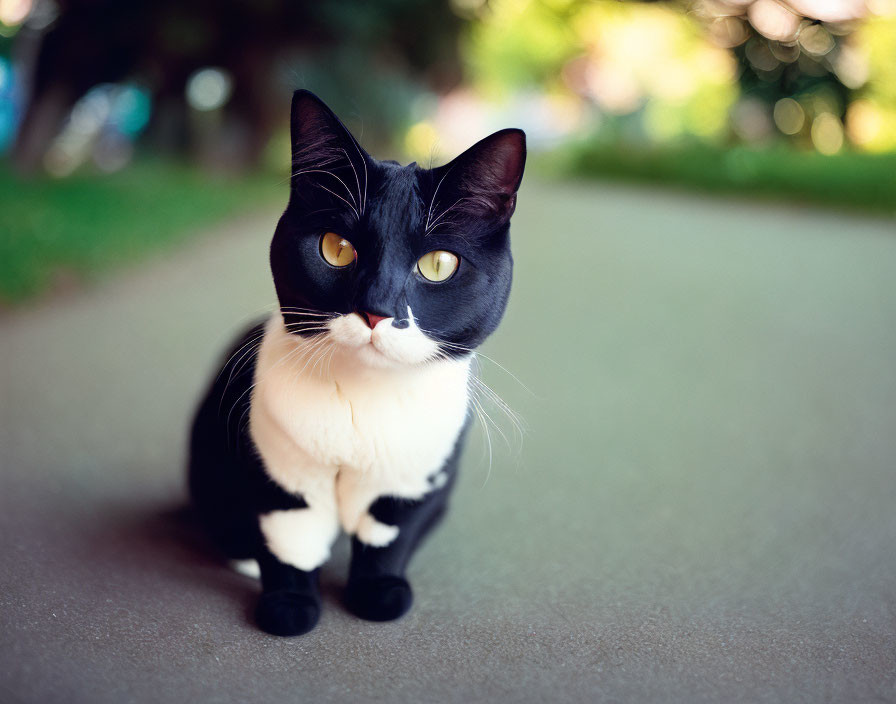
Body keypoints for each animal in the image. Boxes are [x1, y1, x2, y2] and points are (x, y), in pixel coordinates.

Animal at [189, 91, 524, 636]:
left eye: (438, 264)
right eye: (337, 248)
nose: (376, 308)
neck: (364, 404)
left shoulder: (416, 478)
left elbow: (389, 535)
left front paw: (379, 591)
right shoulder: (279, 475)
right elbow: (289, 540)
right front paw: (288, 604)